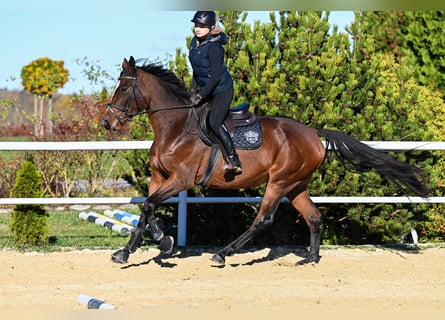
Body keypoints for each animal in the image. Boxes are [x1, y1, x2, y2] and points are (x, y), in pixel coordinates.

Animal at [101, 55, 430, 264]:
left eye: (125, 87)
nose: (106, 122)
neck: (176, 127)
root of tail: (313, 133)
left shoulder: (180, 179)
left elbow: (149, 206)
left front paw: (164, 242)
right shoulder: (159, 177)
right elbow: (146, 211)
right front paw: (129, 251)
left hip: (279, 182)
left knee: (263, 219)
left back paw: (223, 254)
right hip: (296, 185)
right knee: (313, 216)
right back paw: (310, 258)